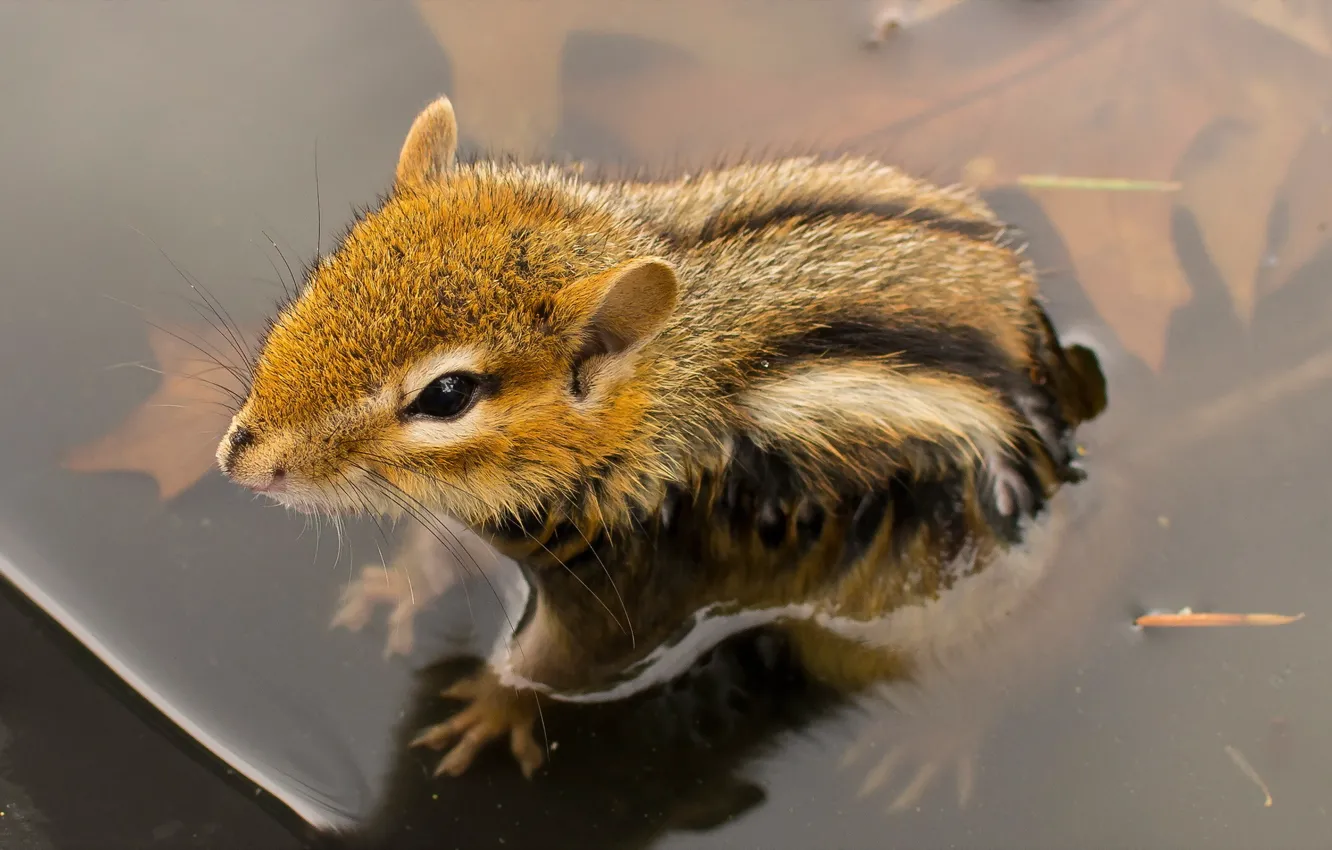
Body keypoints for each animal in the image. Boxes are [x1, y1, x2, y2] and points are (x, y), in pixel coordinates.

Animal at [216, 94, 1107, 784]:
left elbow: (571, 669)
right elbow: (443, 554)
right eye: (329, 274)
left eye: (448, 394)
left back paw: (932, 742)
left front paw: (496, 704)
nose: (240, 459)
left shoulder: (647, 576)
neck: (656, 402)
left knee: (997, 665)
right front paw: (392, 591)